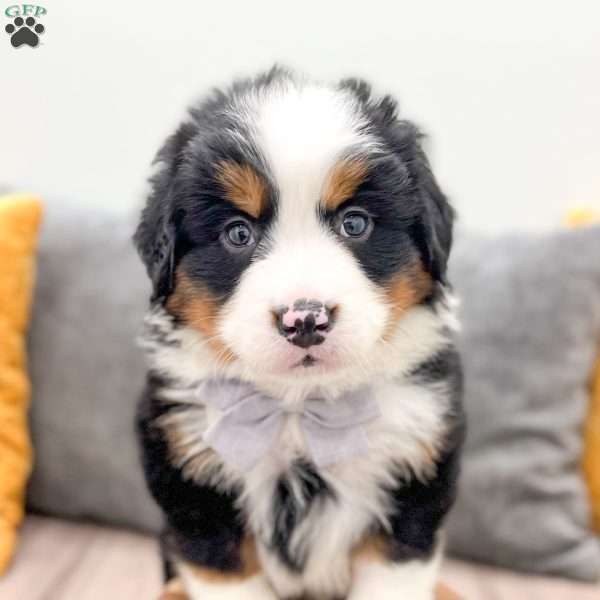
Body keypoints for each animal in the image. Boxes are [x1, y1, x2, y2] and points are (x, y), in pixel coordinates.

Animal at [135, 67, 464, 600]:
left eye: (355, 223)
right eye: (238, 233)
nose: (305, 320)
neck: (297, 406)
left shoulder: (414, 475)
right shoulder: (193, 484)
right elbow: (225, 573)